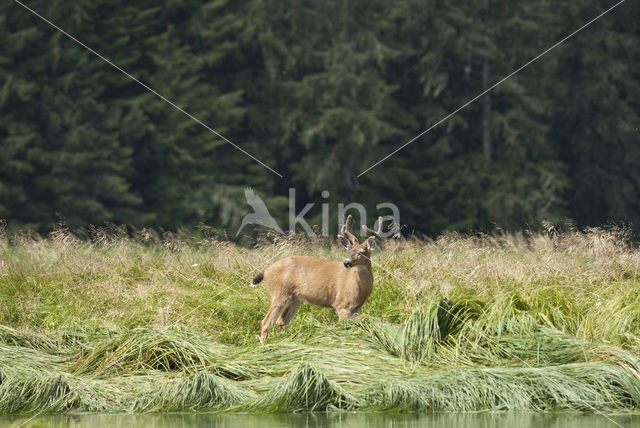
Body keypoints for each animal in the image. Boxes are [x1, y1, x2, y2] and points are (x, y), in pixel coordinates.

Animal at [250, 216, 382, 342]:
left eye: (362, 252)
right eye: (350, 251)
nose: (346, 262)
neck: (359, 288)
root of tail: (266, 270)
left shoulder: (357, 309)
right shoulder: (342, 305)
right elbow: (344, 328)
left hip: (295, 299)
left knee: (281, 322)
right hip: (279, 293)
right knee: (266, 322)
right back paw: (264, 345)